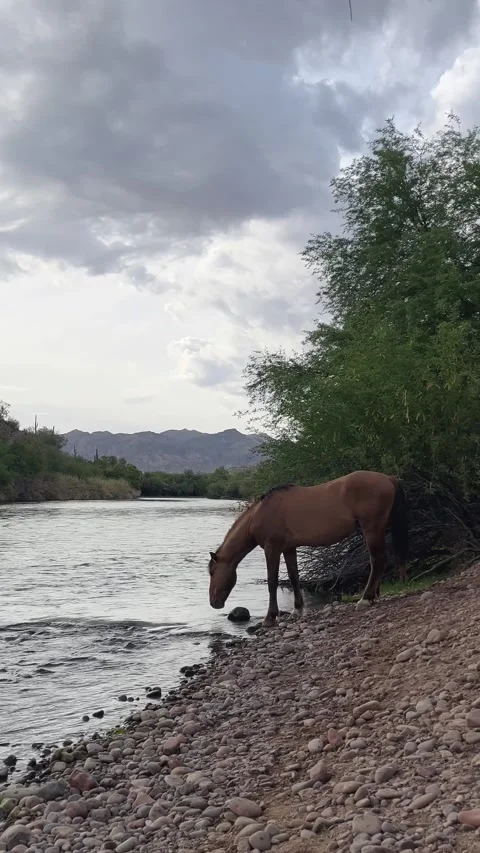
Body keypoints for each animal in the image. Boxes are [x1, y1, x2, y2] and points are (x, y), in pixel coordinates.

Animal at [208, 470, 408, 627]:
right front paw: (297, 610)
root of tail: (389, 478)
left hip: (371, 529)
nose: (213, 602)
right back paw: (374, 596)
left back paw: (365, 599)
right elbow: (294, 577)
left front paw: (270, 618)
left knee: (377, 559)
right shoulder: (289, 548)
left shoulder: (272, 549)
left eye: (211, 572)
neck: (259, 514)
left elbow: (272, 582)